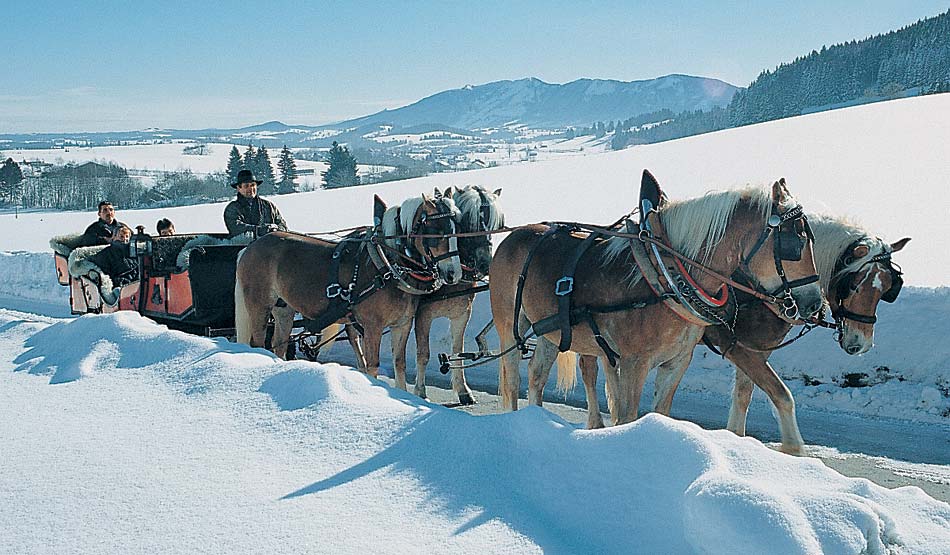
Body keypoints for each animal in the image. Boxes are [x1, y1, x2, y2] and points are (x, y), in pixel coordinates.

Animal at [236, 193, 462, 388]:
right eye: (436, 231)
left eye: (456, 229)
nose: (454, 273)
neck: (387, 264)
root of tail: (249, 248)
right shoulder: (372, 327)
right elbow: (372, 365)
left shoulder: (402, 324)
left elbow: (400, 364)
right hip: (259, 306)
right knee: (258, 343)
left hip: (283, 309)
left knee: (279, 345)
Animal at [414, 185, 510, 406]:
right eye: (468, 223)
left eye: (497, 225)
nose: (485, 264)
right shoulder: (422, 315)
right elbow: (423, 354)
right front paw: (420, 392)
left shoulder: (461, 314)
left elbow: (458, 350)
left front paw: (463, 390)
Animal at [490, 178, 824, 426]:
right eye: (795, 242)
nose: (814, 304)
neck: (667, 275)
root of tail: (513, 237)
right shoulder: (632, 363)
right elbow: (626, 415)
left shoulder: (677, 363)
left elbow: (660, 412)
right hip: (509, 324)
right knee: (512, 378)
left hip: (550, 330)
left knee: (536, 376)